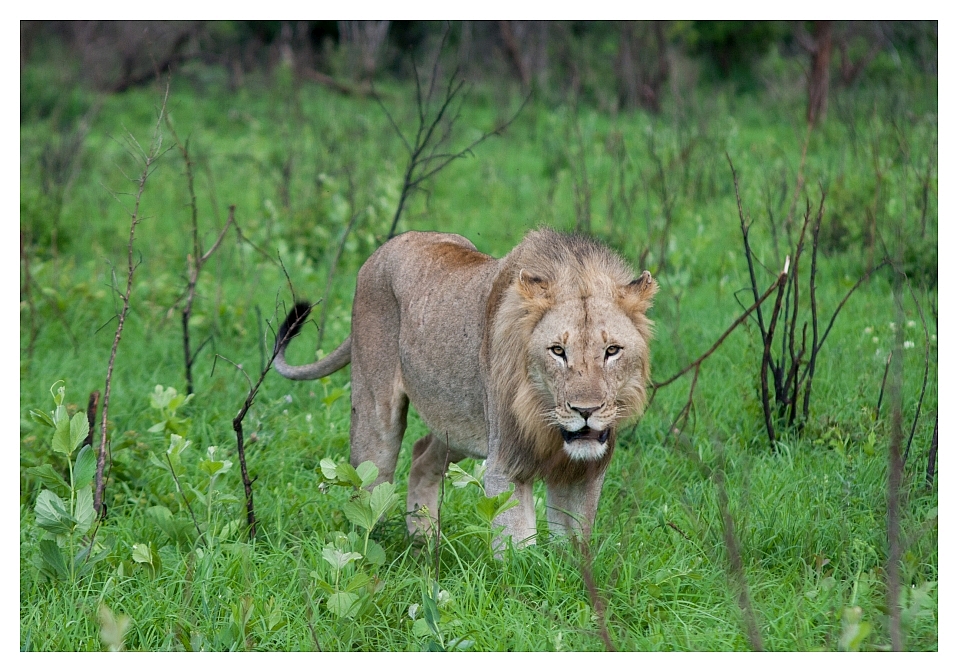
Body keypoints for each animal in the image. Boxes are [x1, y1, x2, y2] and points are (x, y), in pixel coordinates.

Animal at [274, 230, 656, 552]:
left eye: (612, 351)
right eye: (558, 351)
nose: (585, 410)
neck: (548, 426)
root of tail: (386, 247)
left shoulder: (584, 473)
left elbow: (573, 545)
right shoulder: (505, 463)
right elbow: (517, 548)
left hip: (458, 427)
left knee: (421, 457)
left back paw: (426, 544)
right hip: (375, 414)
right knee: (367, 489)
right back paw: (370, 550)